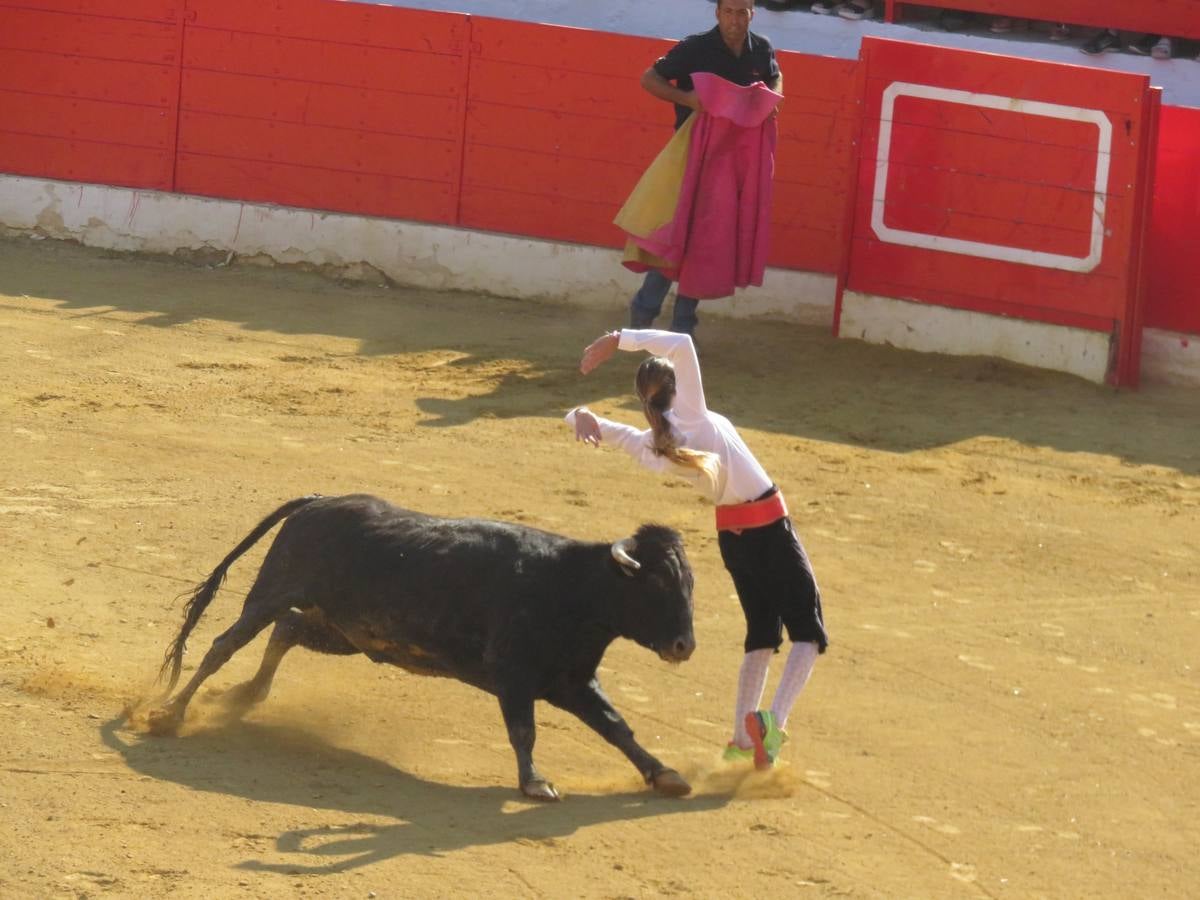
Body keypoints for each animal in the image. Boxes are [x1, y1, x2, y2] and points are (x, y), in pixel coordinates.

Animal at [145, 494, 700, 801]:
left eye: (690, 584)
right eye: (656, 585)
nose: (684, 645)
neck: (573, 587)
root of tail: (318, 501)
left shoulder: (574, 681)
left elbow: (617, 727)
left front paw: (666, 775)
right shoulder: (515, 676)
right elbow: (525, 730)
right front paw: (535, 784)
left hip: (344, 633)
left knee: (287, 630)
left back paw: (246, 696)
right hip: (274, 589)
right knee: (226, 643)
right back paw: (169, 713)